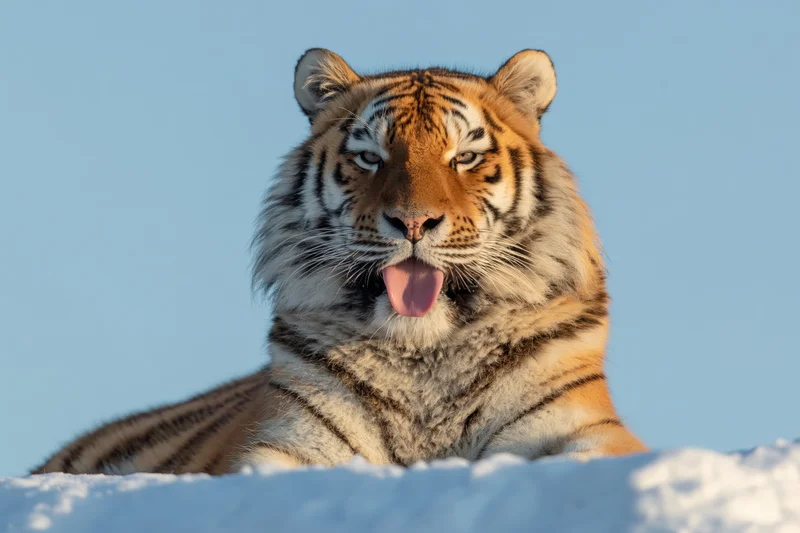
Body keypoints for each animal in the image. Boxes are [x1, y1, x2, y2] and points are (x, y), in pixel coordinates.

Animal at [31, 48, 647, 476]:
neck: (424, 353)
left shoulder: (584, 429)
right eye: (370, 157)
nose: (413, 223)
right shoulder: (289, 442)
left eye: (465, 156)